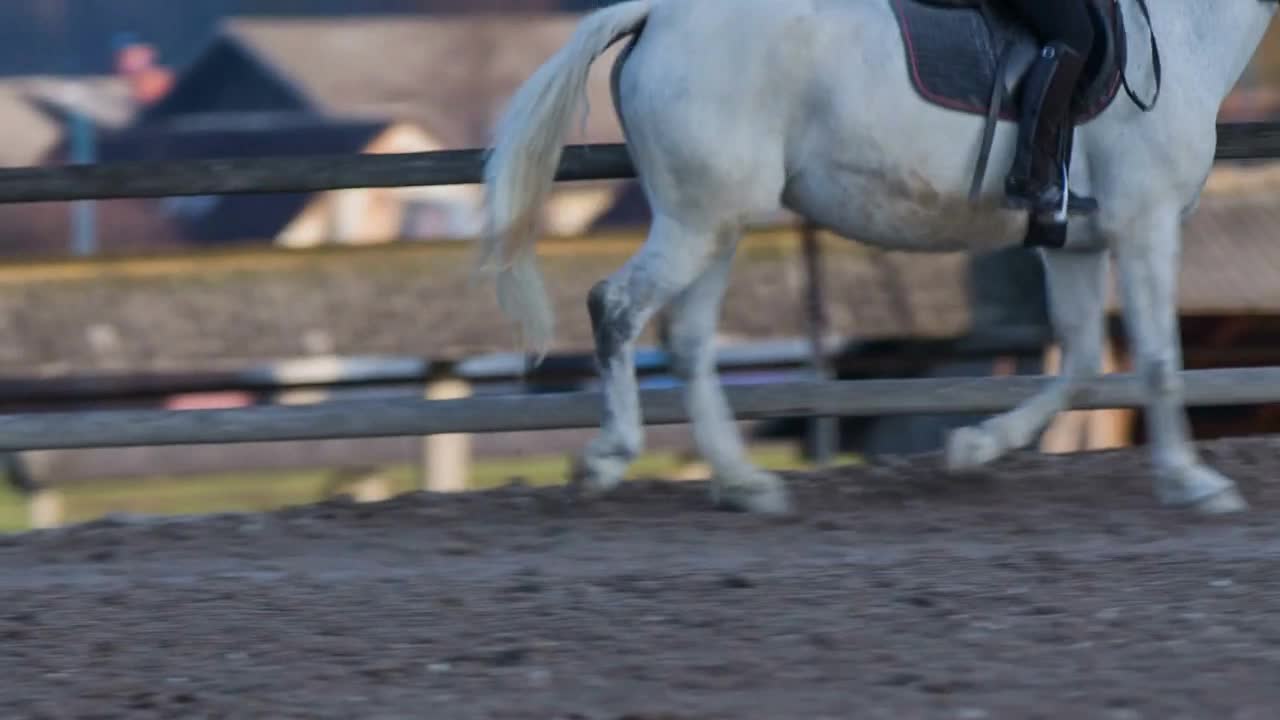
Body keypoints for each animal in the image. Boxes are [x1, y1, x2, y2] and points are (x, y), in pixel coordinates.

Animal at [481, 0, 1280, 512]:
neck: (1183, 28)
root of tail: (656, 17)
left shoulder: (1074, 243)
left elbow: (1082, 362)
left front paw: (975, 446)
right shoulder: (1146, 225)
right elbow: (1158, 361)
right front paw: (1193, 484)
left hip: (716, 221)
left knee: (689, 343)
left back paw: (744, 485)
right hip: (697, 221)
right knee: (616, 306)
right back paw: (610, 456)